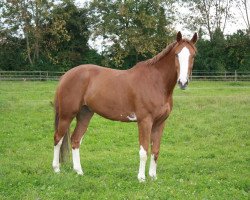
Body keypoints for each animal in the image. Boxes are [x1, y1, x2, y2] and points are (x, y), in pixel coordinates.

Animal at [52, 30, 197, 181]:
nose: (183, 82)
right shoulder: (145, 121)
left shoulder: (160, 122)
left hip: (85, 114)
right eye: (176, 54)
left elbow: (155, 150)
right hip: (66, 115)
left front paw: (153, 177)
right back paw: (56, 169)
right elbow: (144, 151)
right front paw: (141, 178)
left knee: (75, 140)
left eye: (193, 55)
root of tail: (65, 76)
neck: (155, 82)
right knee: (58, 138)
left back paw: (79, 171)